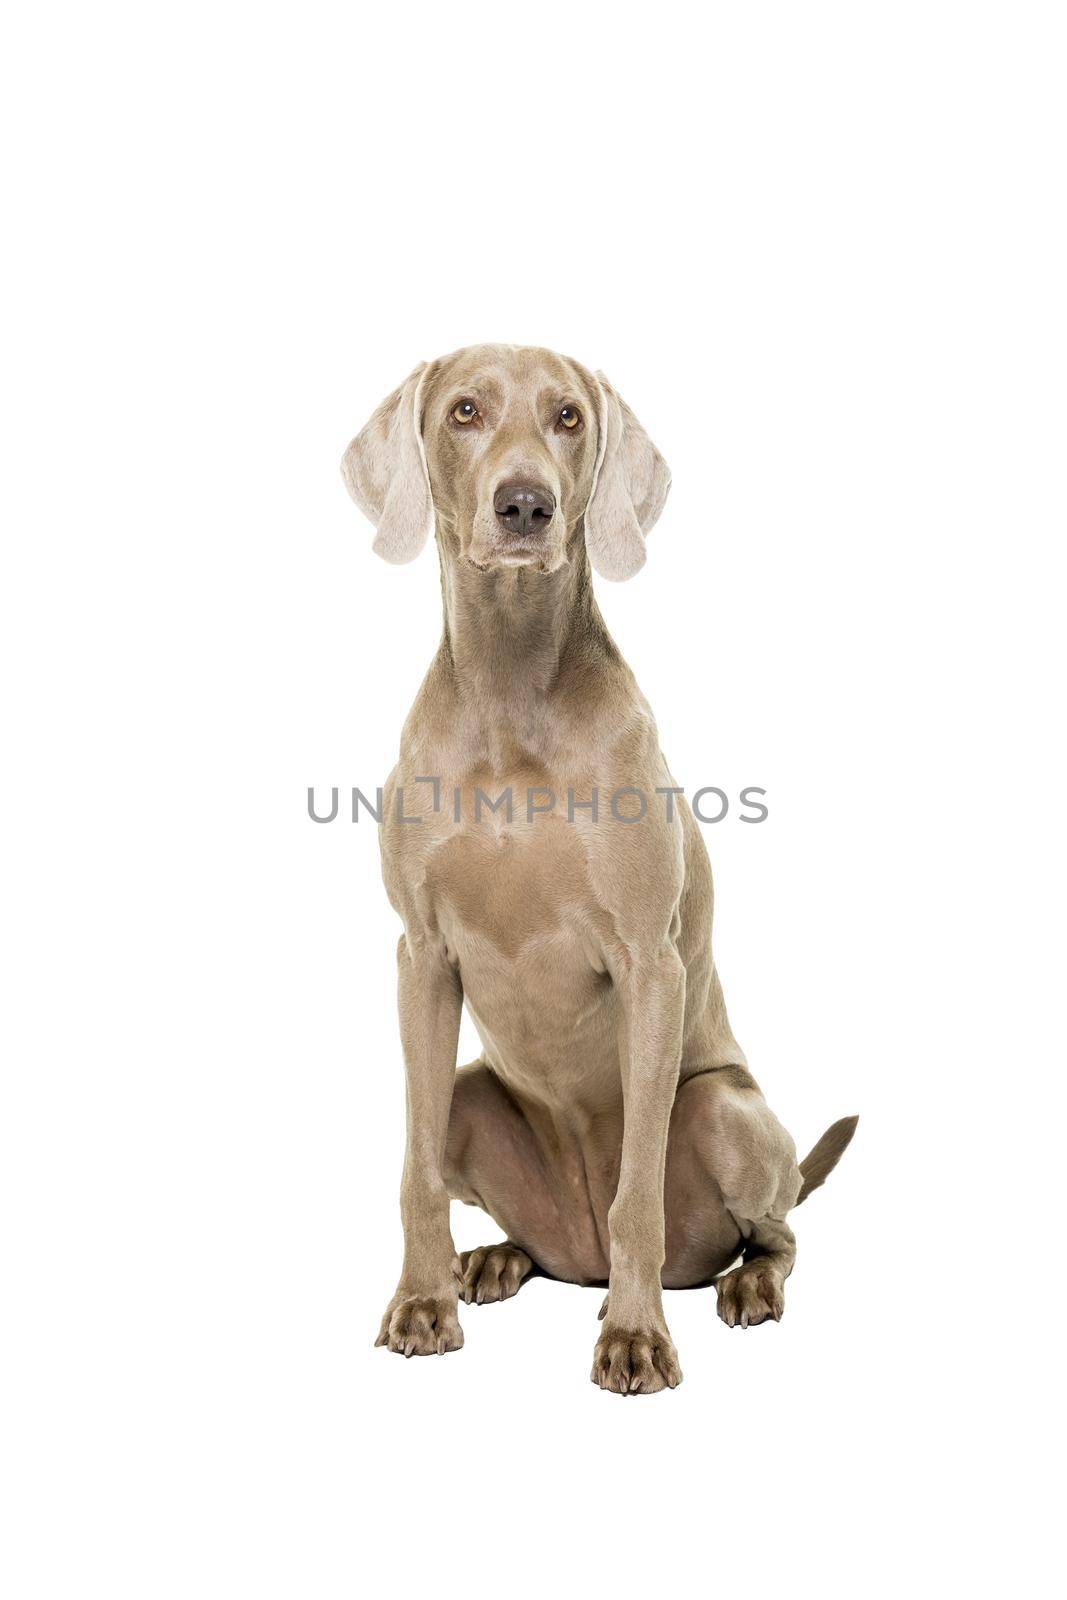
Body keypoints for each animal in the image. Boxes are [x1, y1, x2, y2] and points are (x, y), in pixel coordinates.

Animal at [342, 344, 857, 1395]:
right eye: (464, 411)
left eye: (568, 417)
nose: (525, 504)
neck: (510, 697)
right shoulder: (420, 957)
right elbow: (414, 1172)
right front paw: (421, 1305)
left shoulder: (647, 963)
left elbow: (636, 1200)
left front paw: (635, 1336)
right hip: (471, 1094)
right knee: (516, 1217)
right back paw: (493, 1260)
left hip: (725, 1110)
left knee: (772, 1230)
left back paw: (742, 1286)